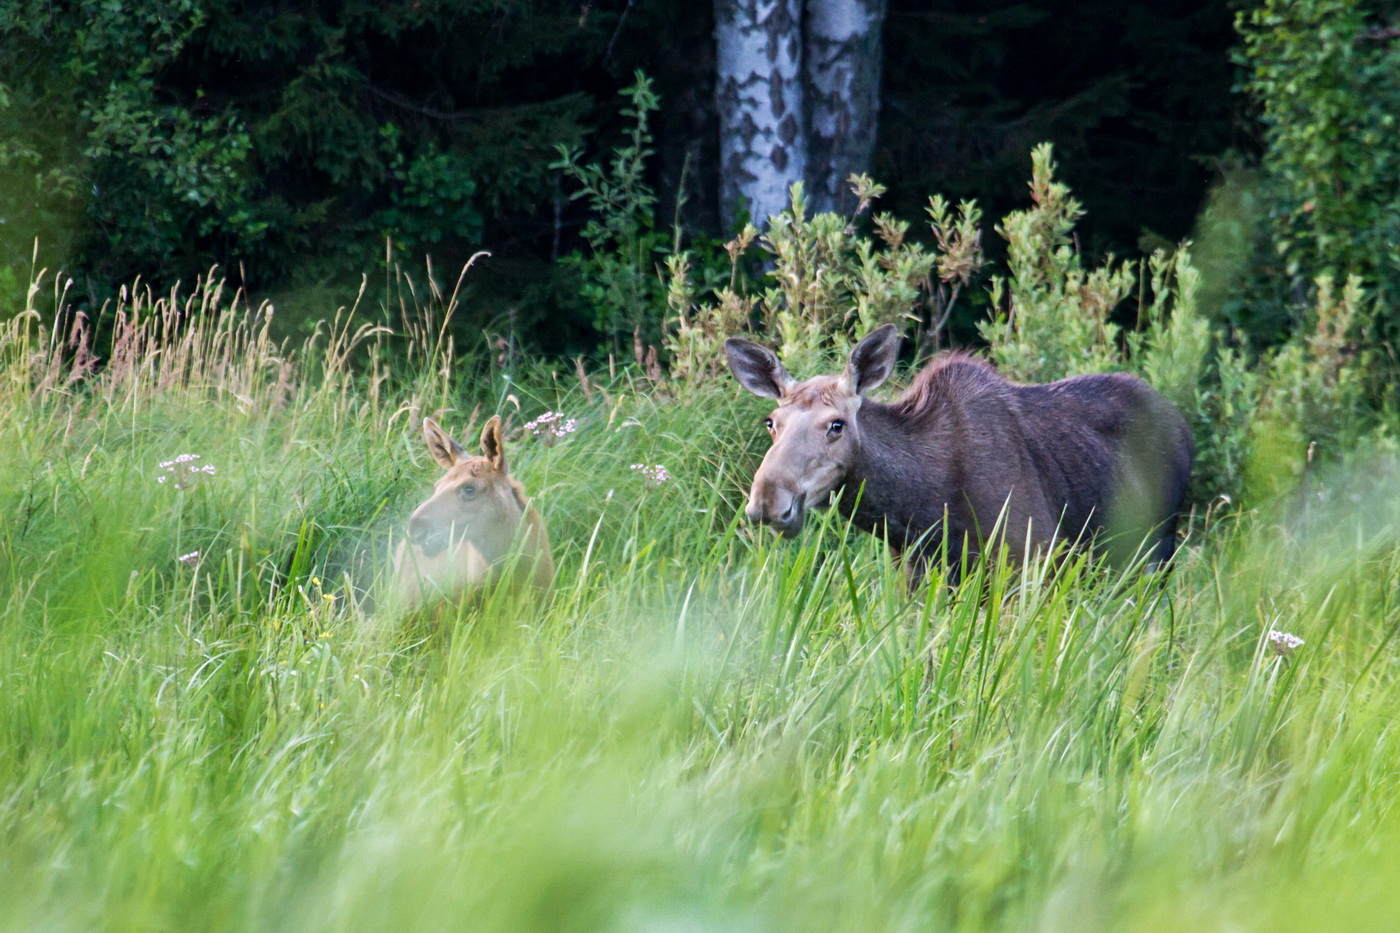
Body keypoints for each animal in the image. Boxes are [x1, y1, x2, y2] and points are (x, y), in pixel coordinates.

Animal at [728, 323, 1198, 577]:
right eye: (771, 422)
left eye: (836, 425)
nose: (767, 501)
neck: (923, 511)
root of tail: (1183, 425)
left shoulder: (1032, 563)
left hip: (1156, 553)